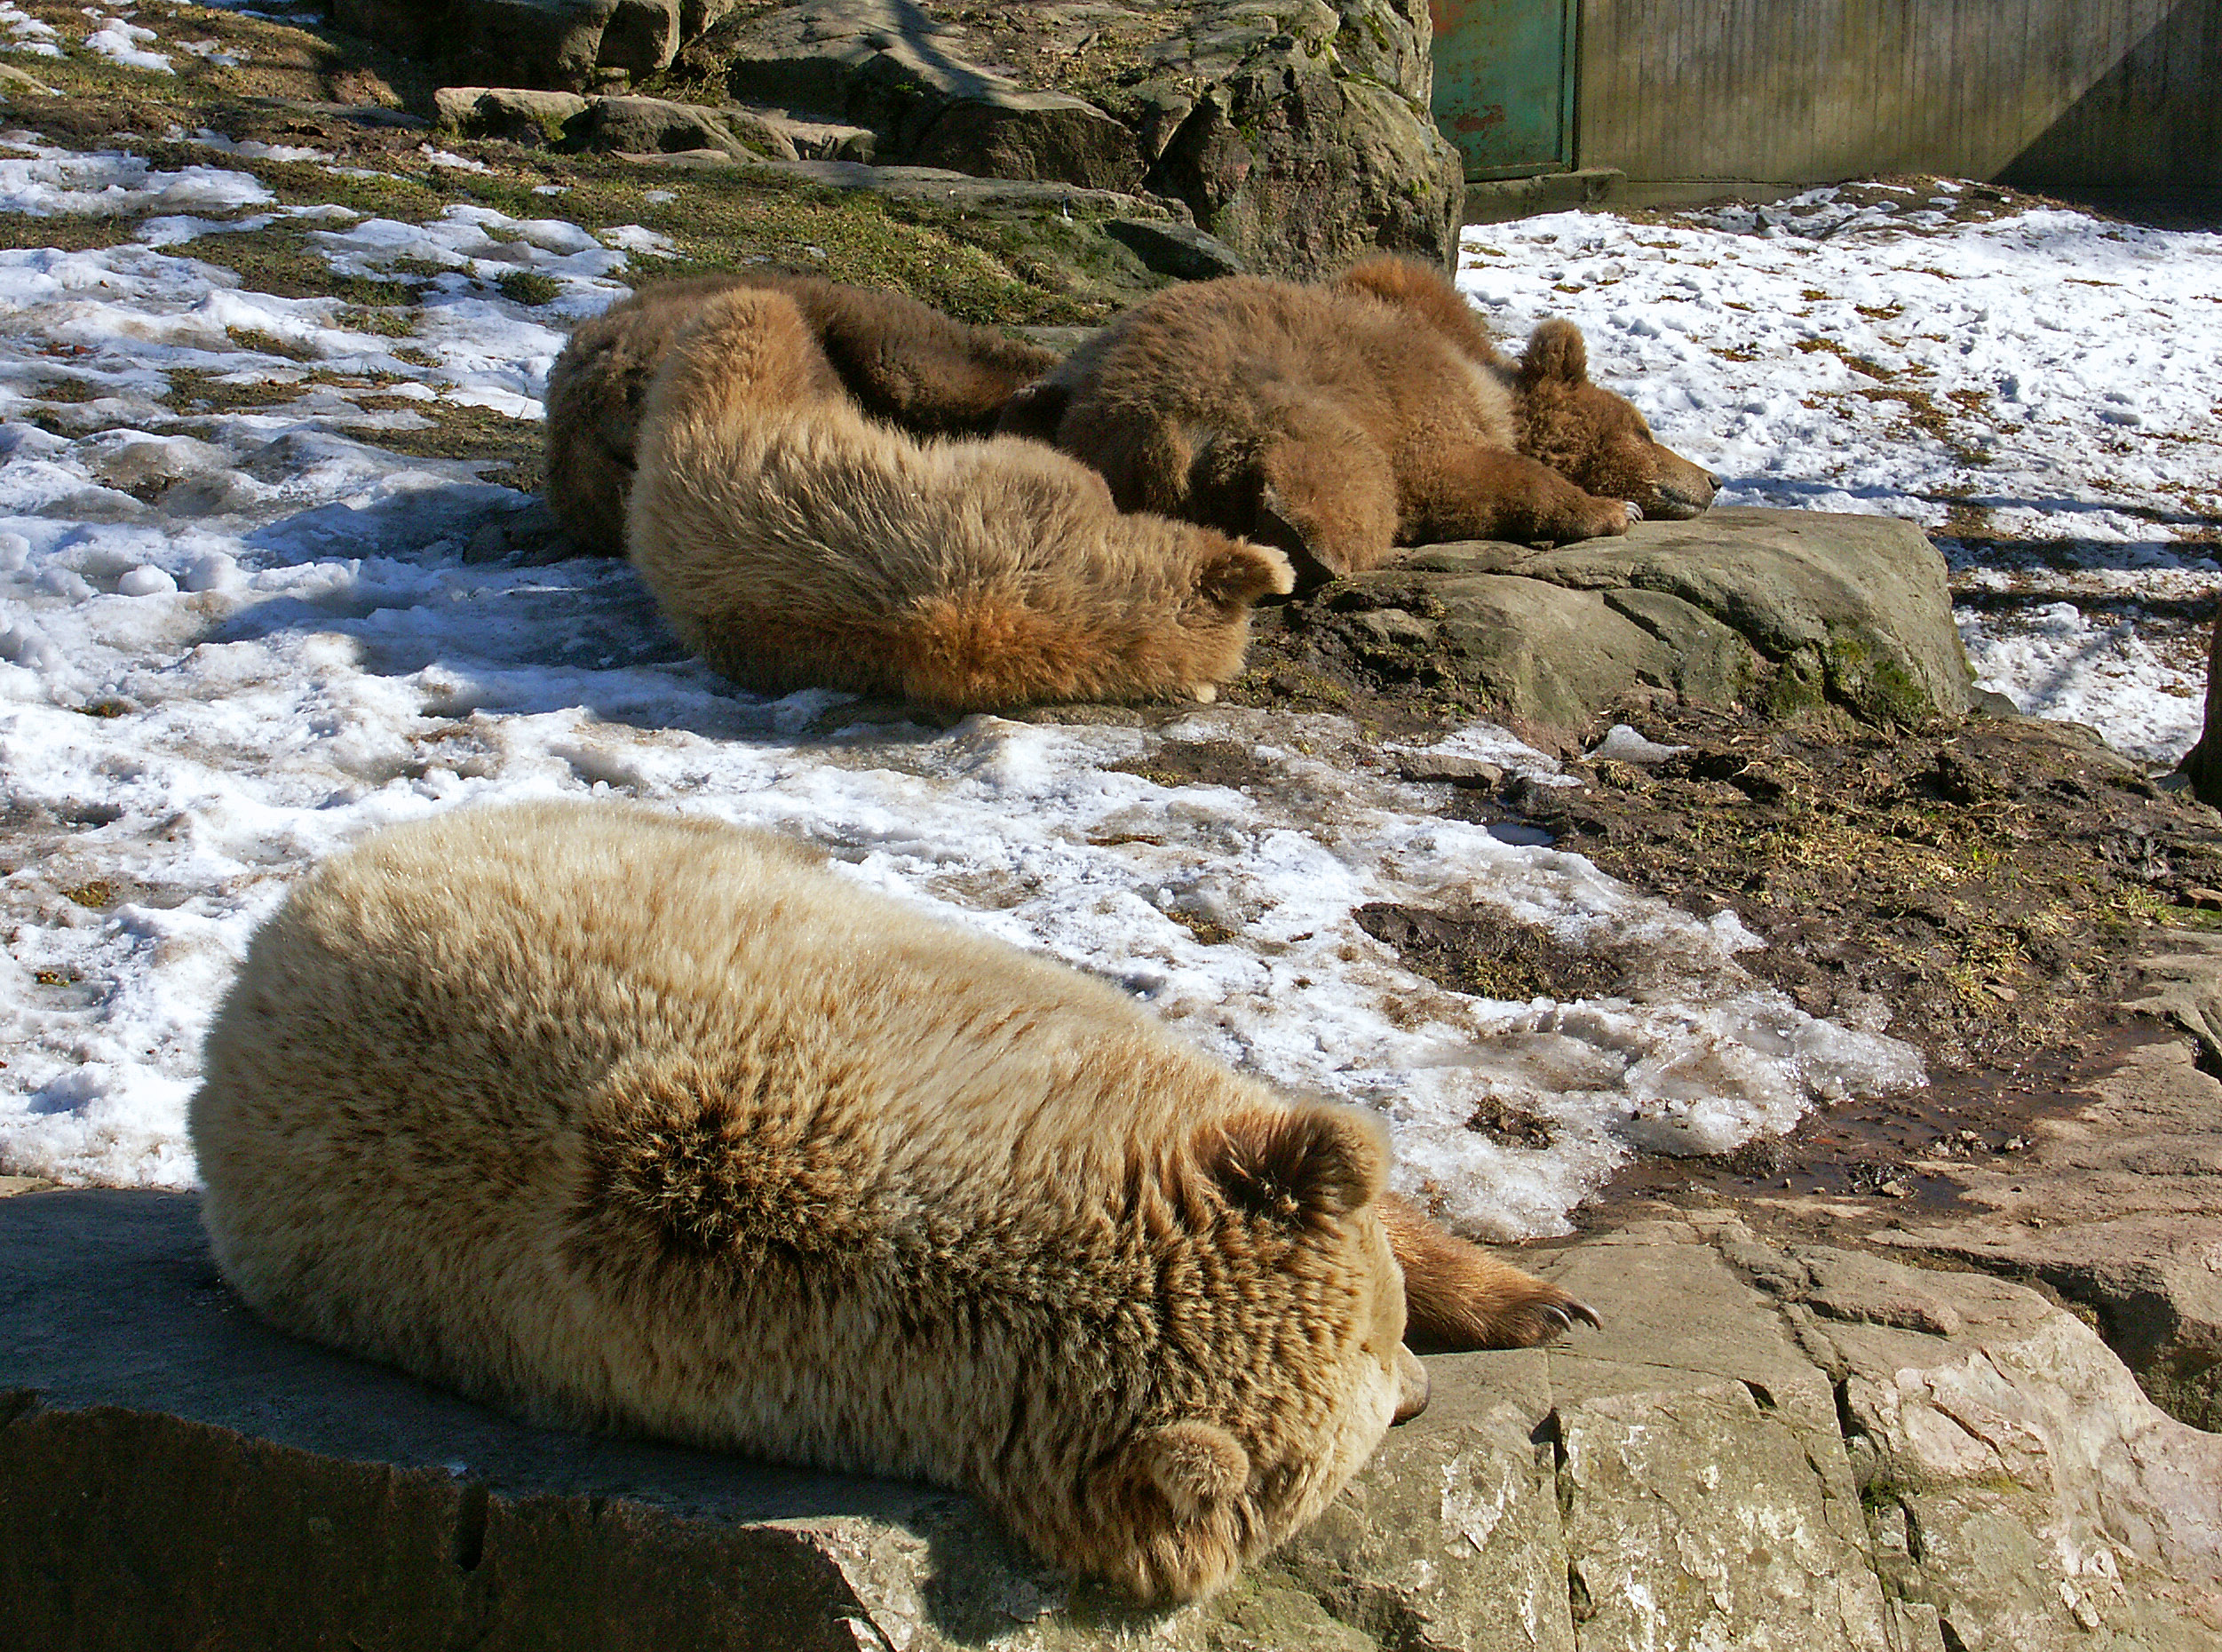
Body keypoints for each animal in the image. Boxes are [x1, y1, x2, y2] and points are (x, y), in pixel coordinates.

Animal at [1004, 250, 1715, 573]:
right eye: (1644, 428)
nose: (1712, 479)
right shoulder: (1423, 411)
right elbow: (1462, 476)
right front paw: (1611, 508)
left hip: (1091, 381)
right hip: (1252, 393)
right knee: (1348, 475)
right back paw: (1310, 541)